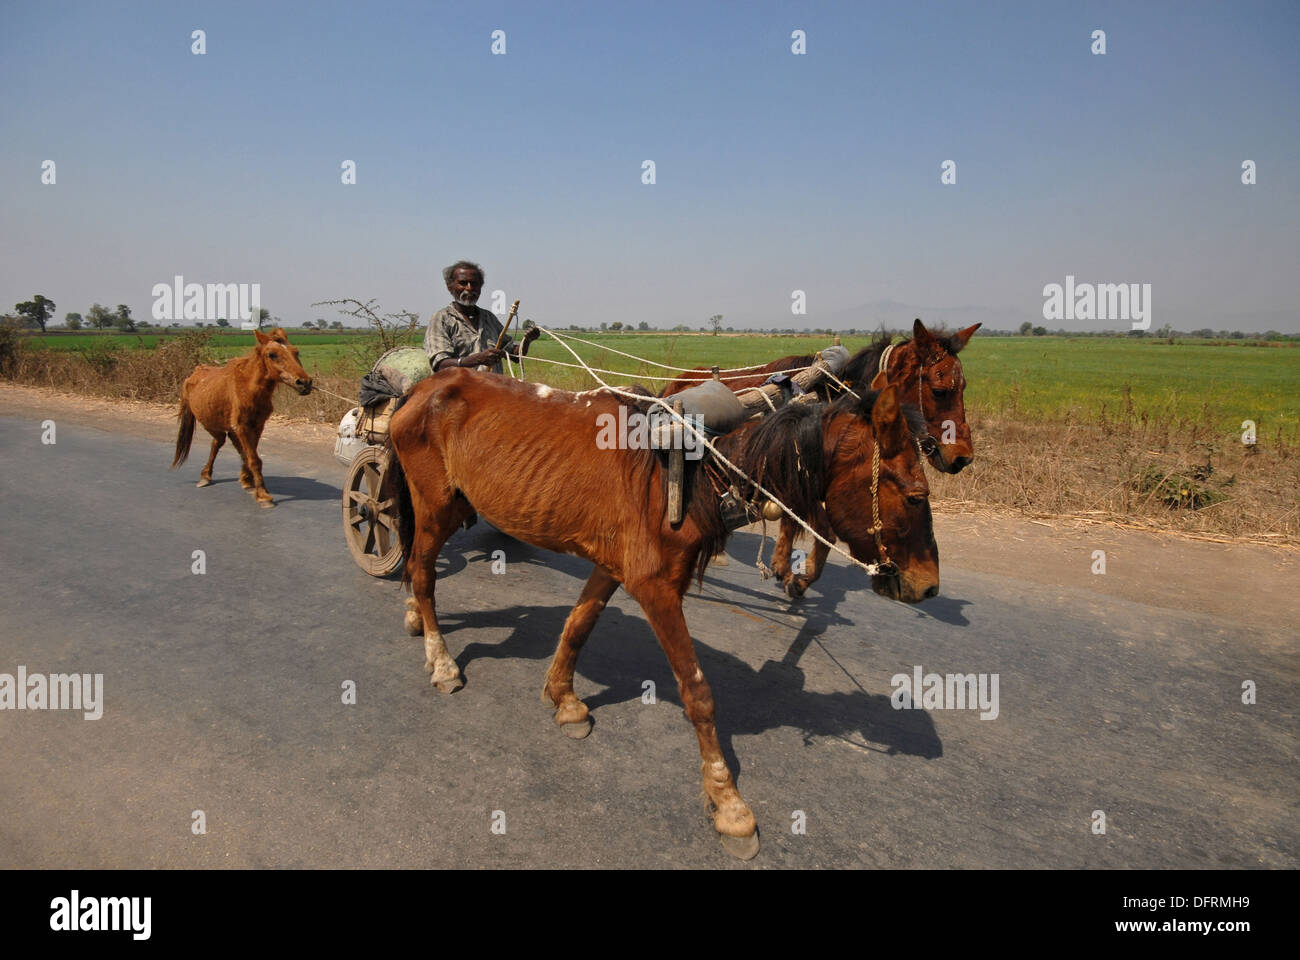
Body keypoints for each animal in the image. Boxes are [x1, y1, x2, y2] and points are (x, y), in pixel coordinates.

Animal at [170, 327, 312, 507]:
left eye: (296, 351)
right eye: (272, 354)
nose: (305, 383)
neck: (248, 387)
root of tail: (194, 374)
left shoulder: (258, 425)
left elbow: (250, 453)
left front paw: (248, 481)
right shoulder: (242, 426)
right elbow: (254, 458)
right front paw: (263, 494)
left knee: (229, 443)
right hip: (210, 423)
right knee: (218, 442)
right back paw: (205, 476)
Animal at [385, 367, 938, 859]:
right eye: (916, 496)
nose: (928, 586)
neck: (690, 473)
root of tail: (426, 385)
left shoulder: (614, 565)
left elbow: (579, 624)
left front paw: (564, 697)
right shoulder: (656, 589)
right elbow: (698, 693)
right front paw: (728, 803)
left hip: (455, 504)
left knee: (417, 568)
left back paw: (414, 618)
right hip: (435, 507)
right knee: (422, 573)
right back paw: (441, 659)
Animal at [662, 318, 979, 597]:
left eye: (964, 387)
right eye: (939, 391)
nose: (962, 457)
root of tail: (678, 382)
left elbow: (796, 522)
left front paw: (783, 565)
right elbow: (824, 530)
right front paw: (798, 579)